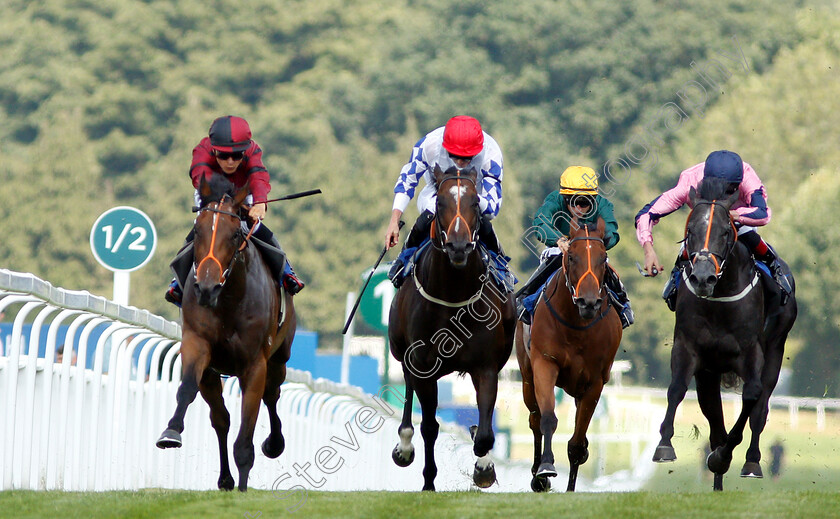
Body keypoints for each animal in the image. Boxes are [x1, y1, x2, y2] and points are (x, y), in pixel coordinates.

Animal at [156, 174, 296, 492]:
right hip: (213, 372)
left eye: (234, 235)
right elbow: (187, 389)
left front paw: (244, 484)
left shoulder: (255, 364)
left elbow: (248, 428)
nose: (207, 288)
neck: (230, 300)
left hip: (279, 358)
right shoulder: (197, 345)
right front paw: (171, 431)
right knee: (221, 419)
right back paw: (225, 479)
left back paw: (274, 444)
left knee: (272, 394)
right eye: (197, 231)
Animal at [388, 167, 520, 492]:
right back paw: (404, 445)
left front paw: (484, 466)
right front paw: (428, 482)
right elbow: (429, 426)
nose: (458, 246)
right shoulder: (423, 365)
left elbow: (484, 431)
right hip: (402, 353)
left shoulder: (486, 366)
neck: (454, 295)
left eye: (475, 202)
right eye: (439, 203)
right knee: (409, 393)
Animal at [512, 217, 624, 494]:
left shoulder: (595, 381)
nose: (588, 302)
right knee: (534, 418)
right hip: (527, 377)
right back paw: (537, 476)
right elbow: (547, 419)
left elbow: (576, 443)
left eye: (603, 258)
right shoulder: (545, 364)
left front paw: (571, 488)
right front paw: (545, 469)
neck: (577, 327)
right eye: (571, 257)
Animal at [652, 178, 796, 492]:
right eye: (689, 232)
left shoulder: (751, 352)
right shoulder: (689, 349)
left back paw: (750, 462)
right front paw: (665, 445)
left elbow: (752, 397)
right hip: (709, 372)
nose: (702, 277)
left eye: (725, 231)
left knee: (760, 411)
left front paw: (727, 456)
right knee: (714, 420)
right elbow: (677, 389)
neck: (720, 297)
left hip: (776, 350)